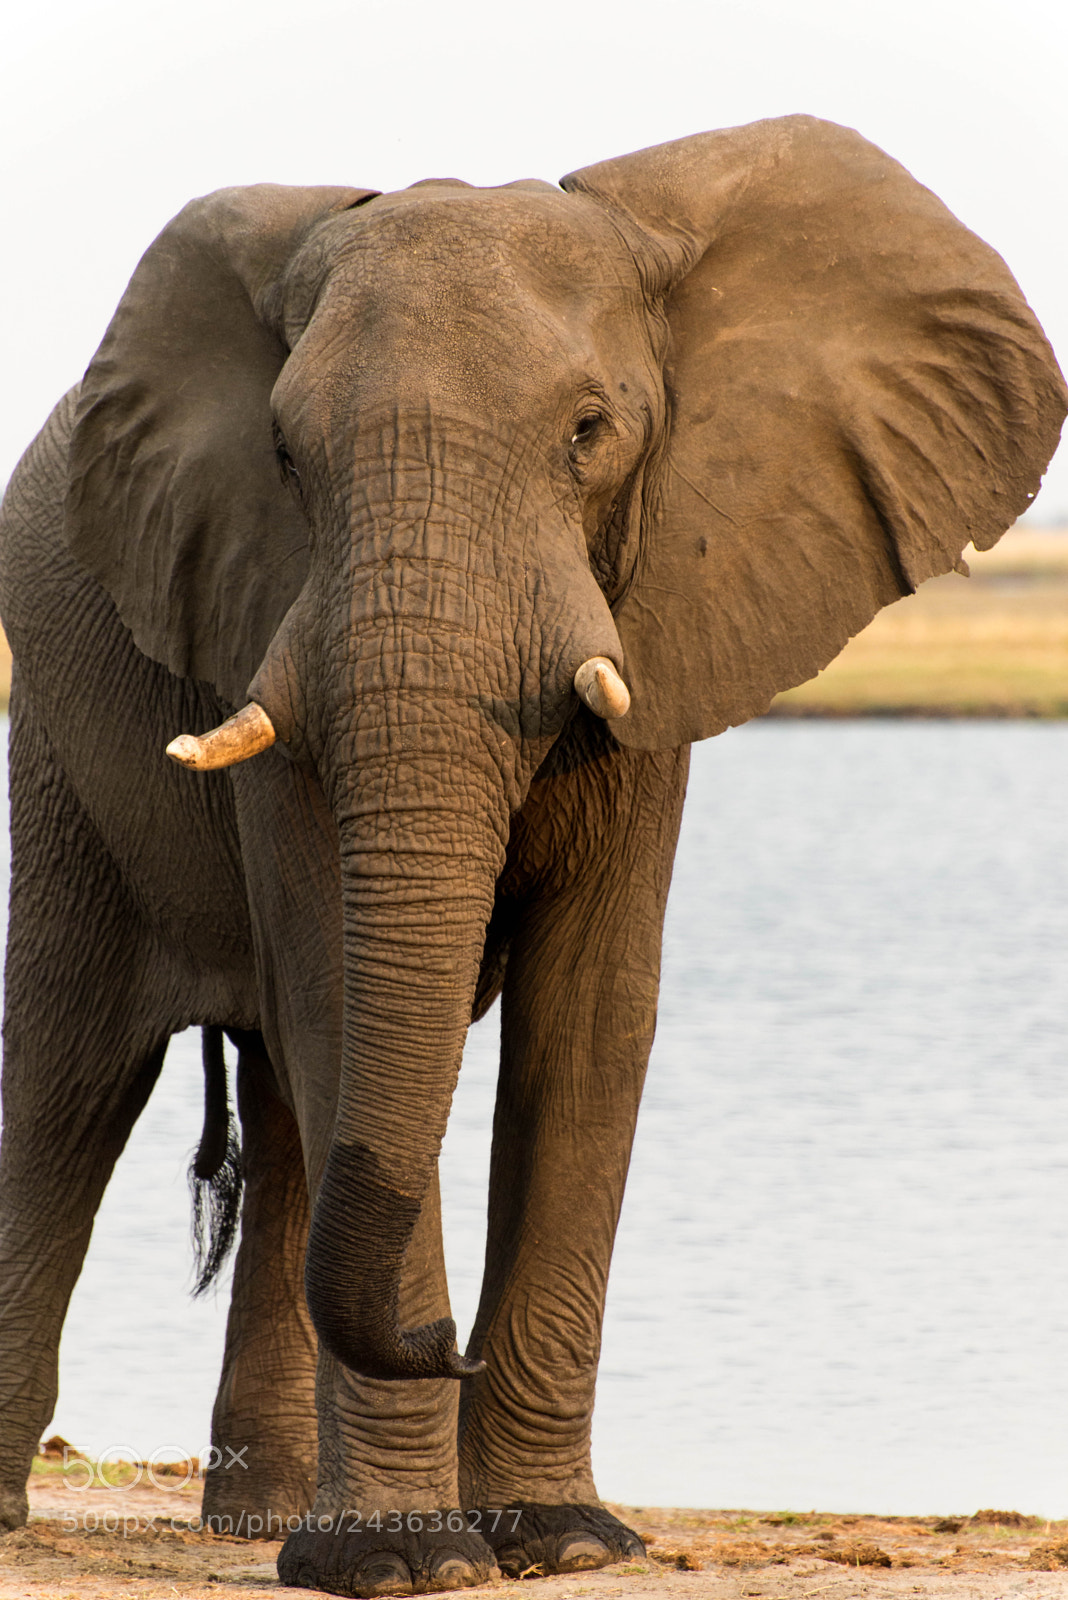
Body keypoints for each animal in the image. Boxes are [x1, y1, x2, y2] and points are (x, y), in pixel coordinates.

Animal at [0, 114, 1063, 1597]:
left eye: (588, 432)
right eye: (283, 455)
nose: (444, 1347)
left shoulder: (667, 612)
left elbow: (591, 1015)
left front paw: (559, 1539)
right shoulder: (261, 621)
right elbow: (341, 994)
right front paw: (406, 1562)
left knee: (272, 1110)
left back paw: (262, 1522)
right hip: (56, 741)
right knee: (71, 1081)